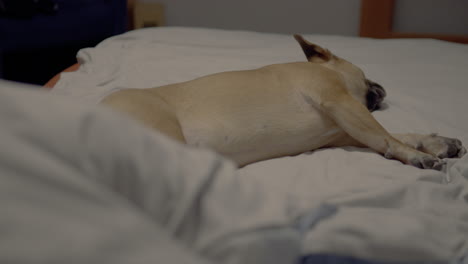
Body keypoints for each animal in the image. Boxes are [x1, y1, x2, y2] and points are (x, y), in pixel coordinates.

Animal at [101, 34, 464, 169]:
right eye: (366, 74)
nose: (383, 88)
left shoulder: (345, 130)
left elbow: (394, 135)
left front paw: (438, 142)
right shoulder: (339, 101)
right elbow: (387, 135)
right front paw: (418, 155)